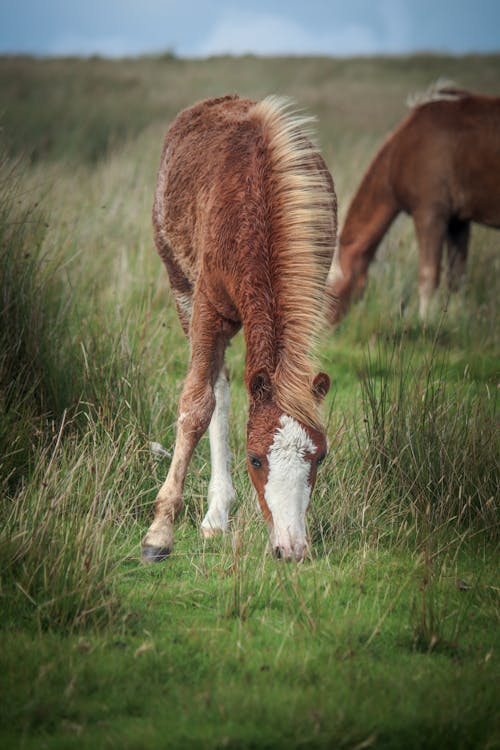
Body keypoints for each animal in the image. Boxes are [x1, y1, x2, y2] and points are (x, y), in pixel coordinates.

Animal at [141, 95, 338, 564]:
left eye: (320, 458)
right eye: (255, 459)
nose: (292, 548)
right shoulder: (206, 308)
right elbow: (197, 407)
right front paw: (159, 533)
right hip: (181, 289)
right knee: (219, 387)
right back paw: (215, 513)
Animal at [326, 86, 500, 322]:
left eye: (330, 290)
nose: (319, 328)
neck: (403, 150)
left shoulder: (430, 214)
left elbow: (428, 276)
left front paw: (424, 322)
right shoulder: (458, 222)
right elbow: (456, 279)